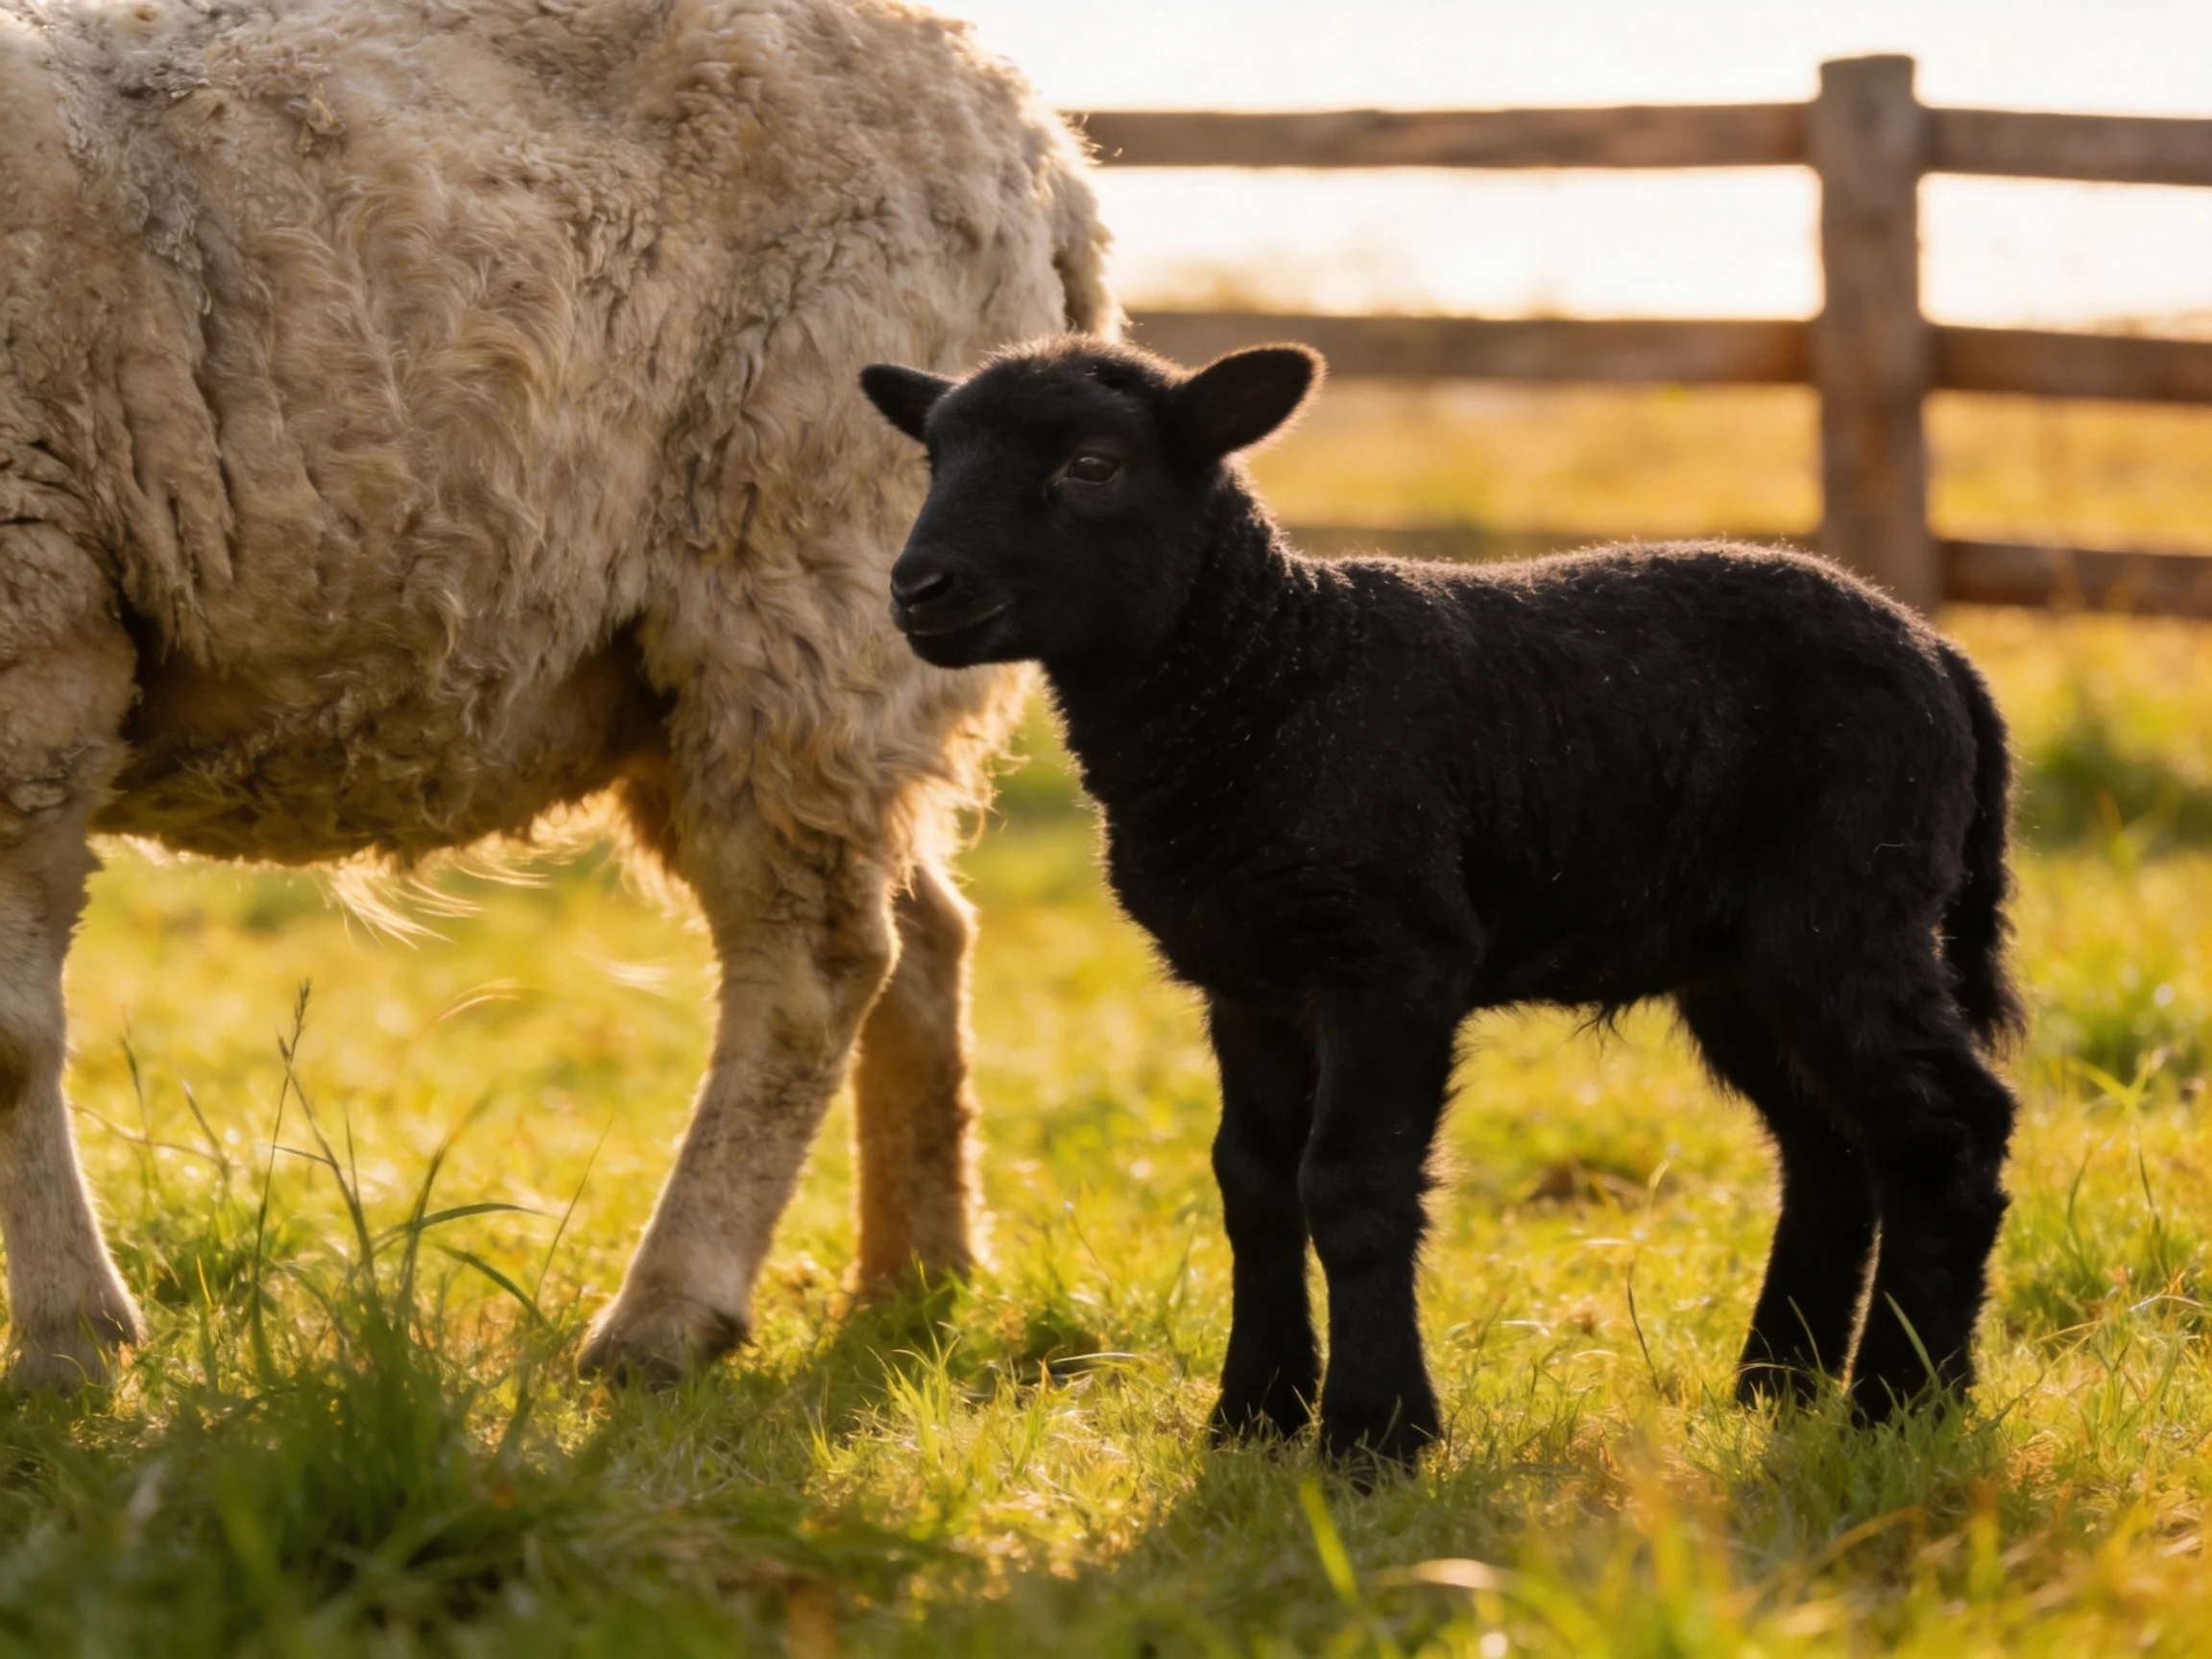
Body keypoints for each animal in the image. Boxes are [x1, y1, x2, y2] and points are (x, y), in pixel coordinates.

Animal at [0, 0, 1113, 1388]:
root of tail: (1040, 142)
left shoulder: (34, 634)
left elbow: (8, 1040)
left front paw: (68, 1343)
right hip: (757, 676)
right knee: (924, 934)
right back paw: (914, 1282)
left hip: (800, 580)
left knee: (814, 962)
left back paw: (669, 1317)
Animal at [861, 337, 2023, 1467]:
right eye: (934, 458)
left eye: (1093, 465)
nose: (918, 589)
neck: (1266, 679)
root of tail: (1942, 654)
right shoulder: (1247, 980)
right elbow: (1253, 1184)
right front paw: (1254, 1415)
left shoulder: (1394, 957)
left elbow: (1350, 1186)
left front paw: (1374, 1434)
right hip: (1736, 960)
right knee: (1832, 1150)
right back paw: (1778, 1385)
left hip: (1847, 912)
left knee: (1948, 1131)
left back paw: (1902, 1401)